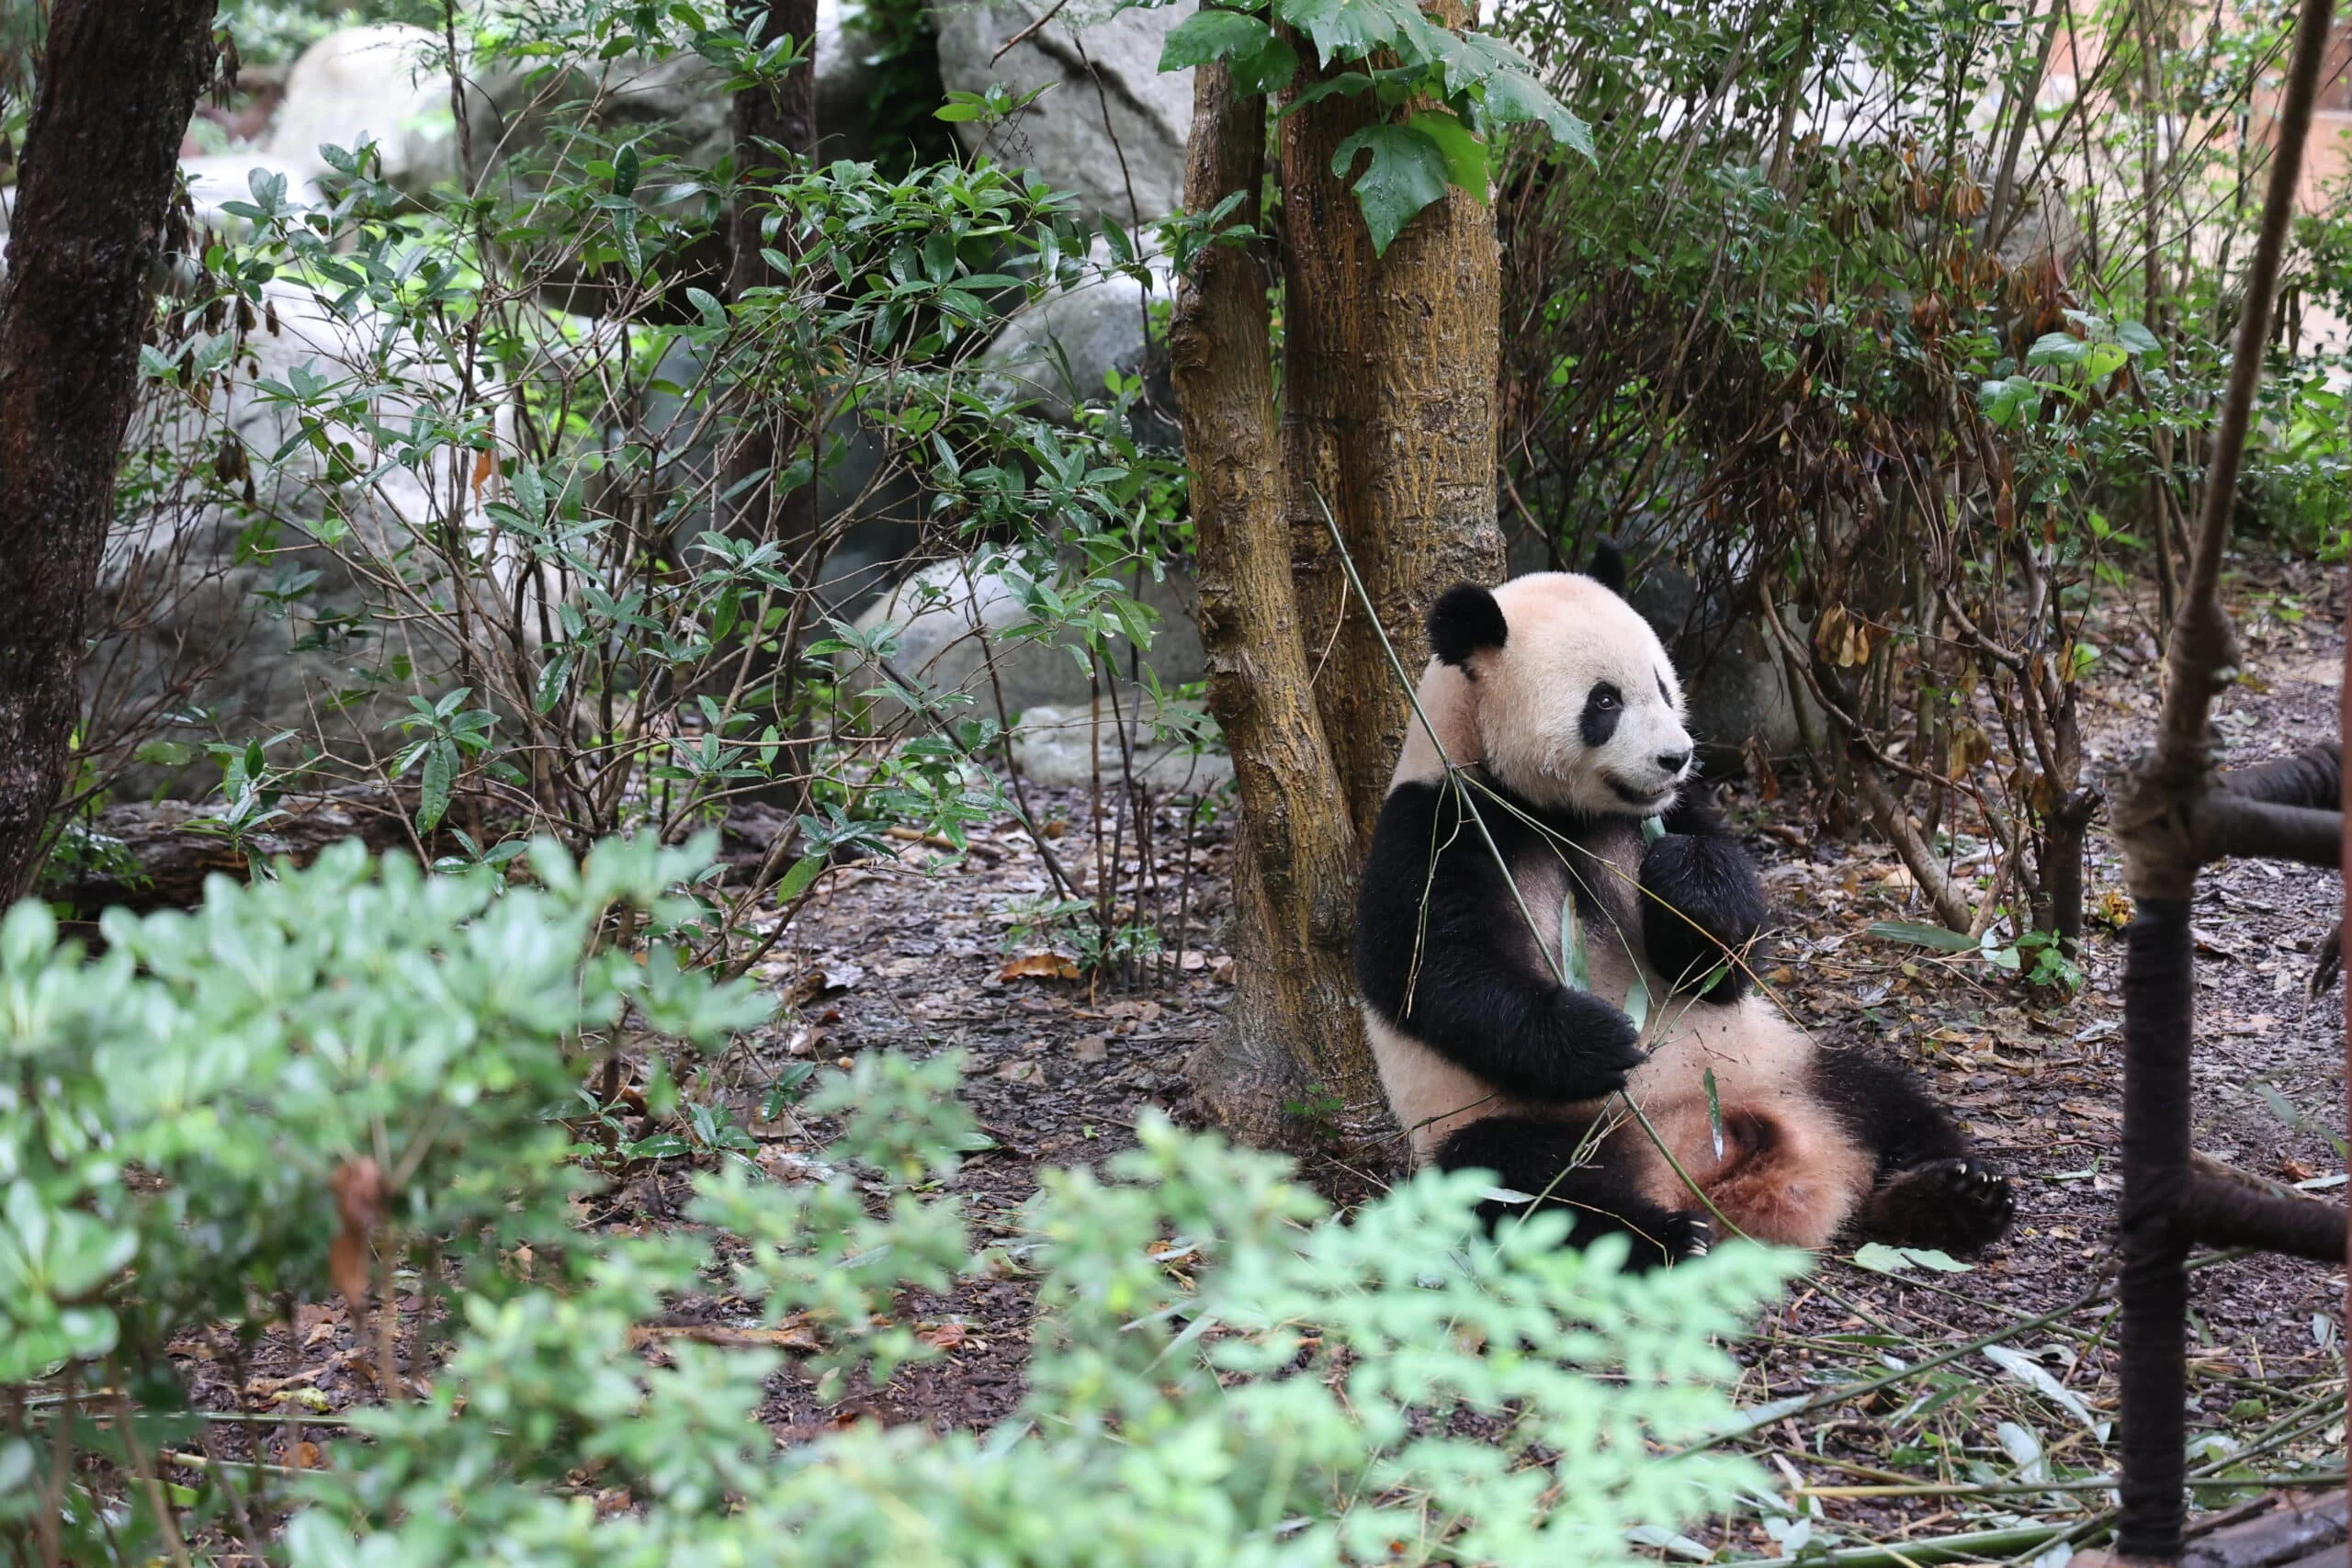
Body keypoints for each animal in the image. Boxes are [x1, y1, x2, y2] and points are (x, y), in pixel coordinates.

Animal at [1354, 548, 2015, 1267]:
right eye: (1605, 700)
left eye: (1664, 687)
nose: (1677, 756)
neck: (1549, 809)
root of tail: (1704, 1162)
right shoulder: (1437, 825)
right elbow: (1435, 975)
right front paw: (1599, 1038)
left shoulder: (1671, 813)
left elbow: (1726, 958)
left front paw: (1688, 883)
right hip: (1515, 1122)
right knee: (1527, 1185)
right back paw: (1665, 1237)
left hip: (1786, 1065)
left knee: (1884, 1097)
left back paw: (1952, 1195)